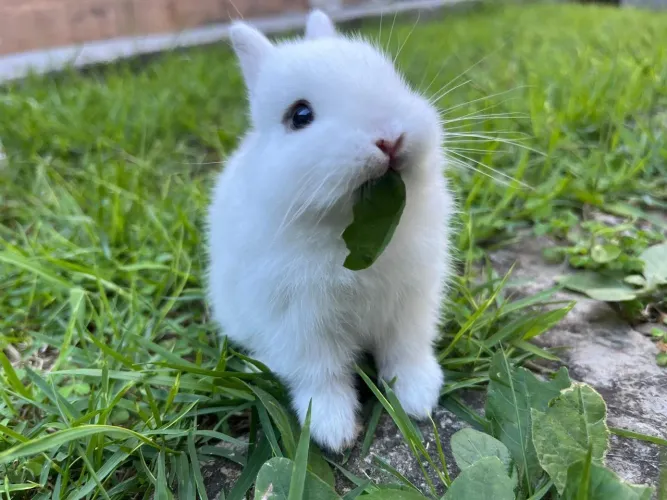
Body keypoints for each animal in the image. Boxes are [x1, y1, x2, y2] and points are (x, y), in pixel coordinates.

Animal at [206, 9, 455, 452]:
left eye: (393, 78)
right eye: (300, 116)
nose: (390, 138)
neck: (350, 227)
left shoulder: (412, 302)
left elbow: (406, 350)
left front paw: (419, 398)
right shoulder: (301, 322)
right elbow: (321, 377)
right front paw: (333, 431)